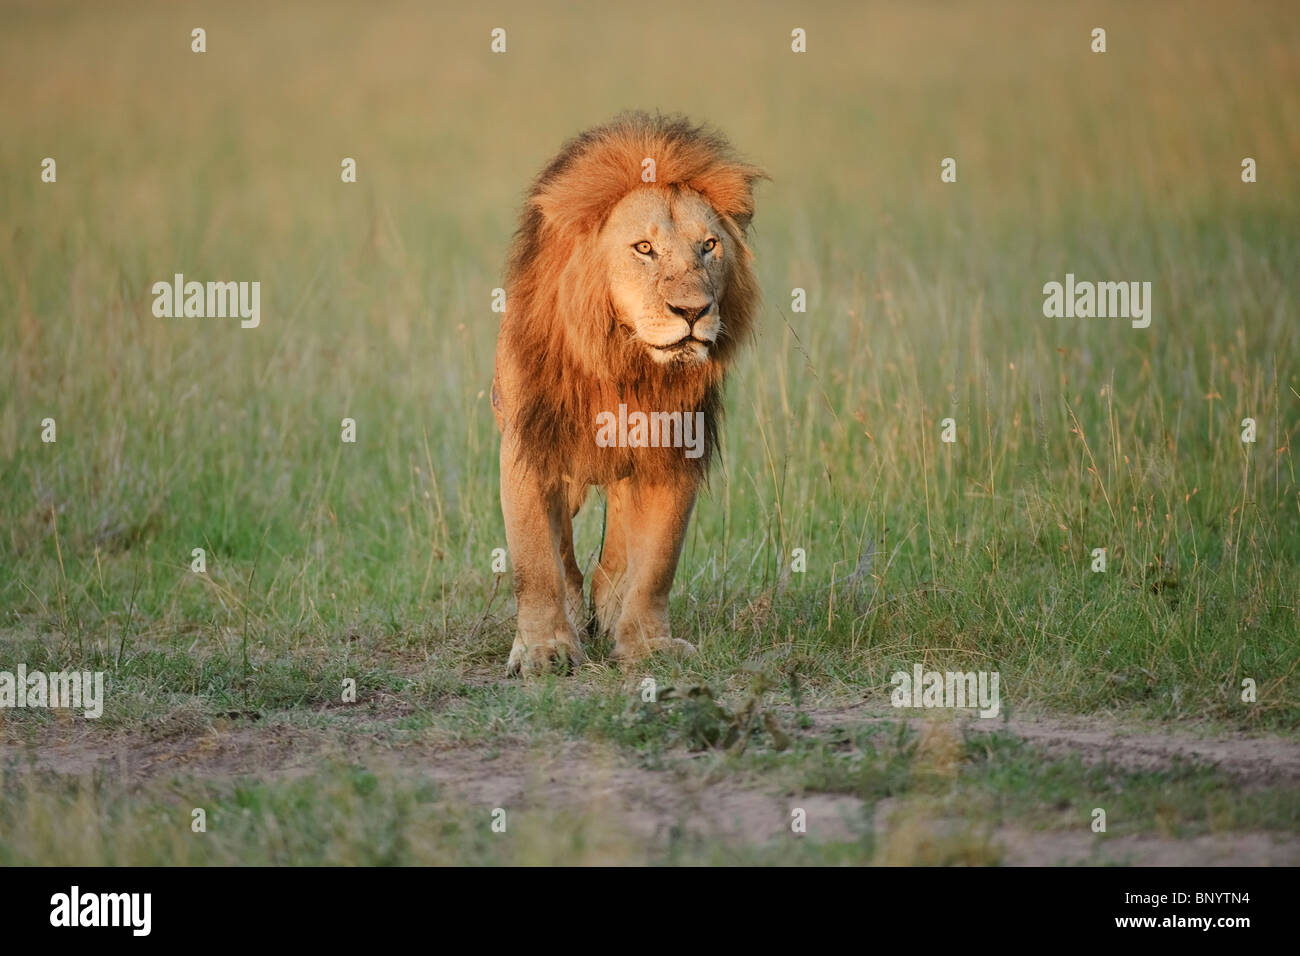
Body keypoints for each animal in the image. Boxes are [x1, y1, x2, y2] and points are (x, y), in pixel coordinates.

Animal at [491, 112, 764, 676]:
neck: (625, 363)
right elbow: (535, 557)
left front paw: (645, 643)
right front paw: (544, 648)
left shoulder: (675, 449)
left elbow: (657, 561)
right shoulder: (530, 442)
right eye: (644, 248)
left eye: (709, 246)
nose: (693, 311)